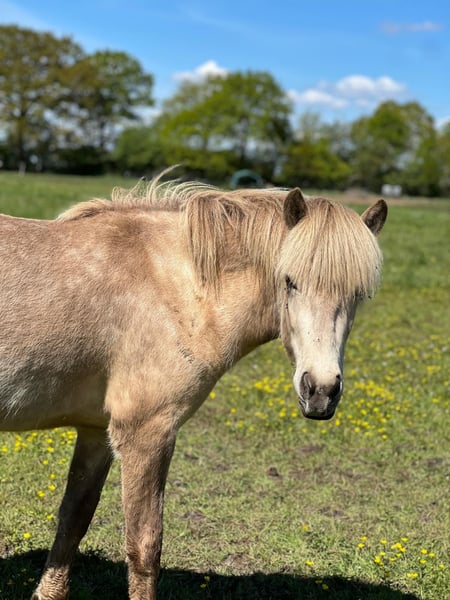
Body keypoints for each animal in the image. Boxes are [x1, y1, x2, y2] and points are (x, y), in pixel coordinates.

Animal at [0, 174, 387, 600]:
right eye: (290, 282)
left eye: (359, 294)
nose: (320, 390)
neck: (174, 287)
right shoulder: (146, 434)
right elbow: (144, 544)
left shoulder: (95, 431)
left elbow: (73, 519)